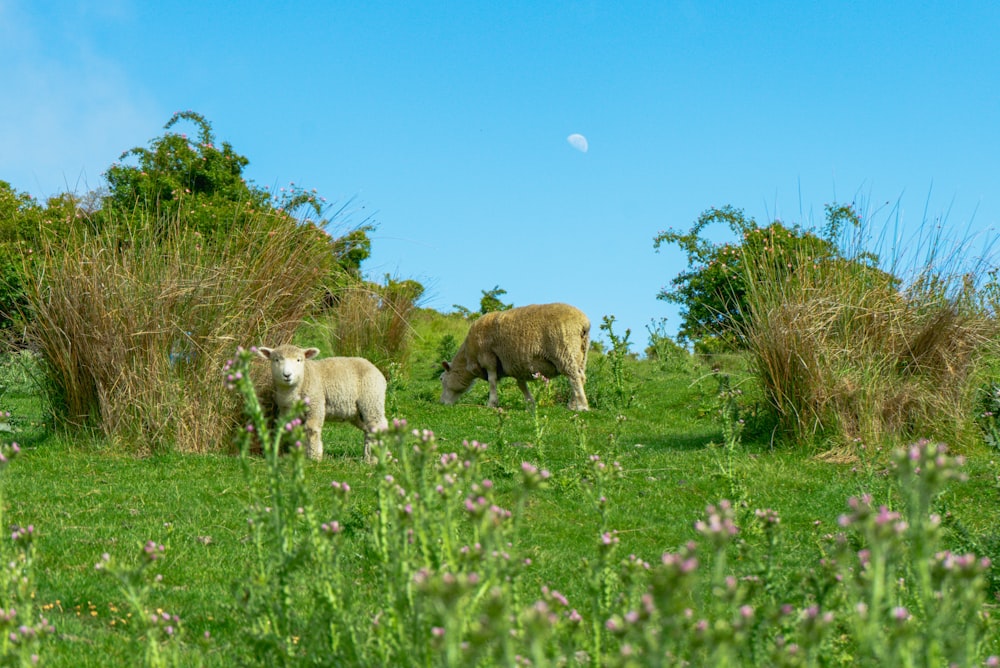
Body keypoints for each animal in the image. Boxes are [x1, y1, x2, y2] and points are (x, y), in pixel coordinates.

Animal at [256, 342, 388, 462]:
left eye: (299, 360)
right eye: (276, 360)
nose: (287, 375)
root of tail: (373, 366)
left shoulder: (316, 403)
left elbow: (311, 429)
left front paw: (315, 457)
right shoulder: (287, 411)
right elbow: (293, 431)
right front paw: (300, 455)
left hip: (371, 398)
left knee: (377, 425)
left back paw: (375, 458)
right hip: (357, 412)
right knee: (369, 429)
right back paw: (372, 456)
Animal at [442, 302, 588, 410]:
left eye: (441, 379)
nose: (441, 402)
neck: (468, 358)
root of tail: (584, 322)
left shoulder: (488, 357)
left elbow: (492, 381)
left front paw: (492, 403)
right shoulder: (517, 365)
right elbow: (521, 385)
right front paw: (530, 404)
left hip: (565, 351)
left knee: (575, 377)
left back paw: (582, 407)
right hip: (580, 354)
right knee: (580, 377)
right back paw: (573, 406)